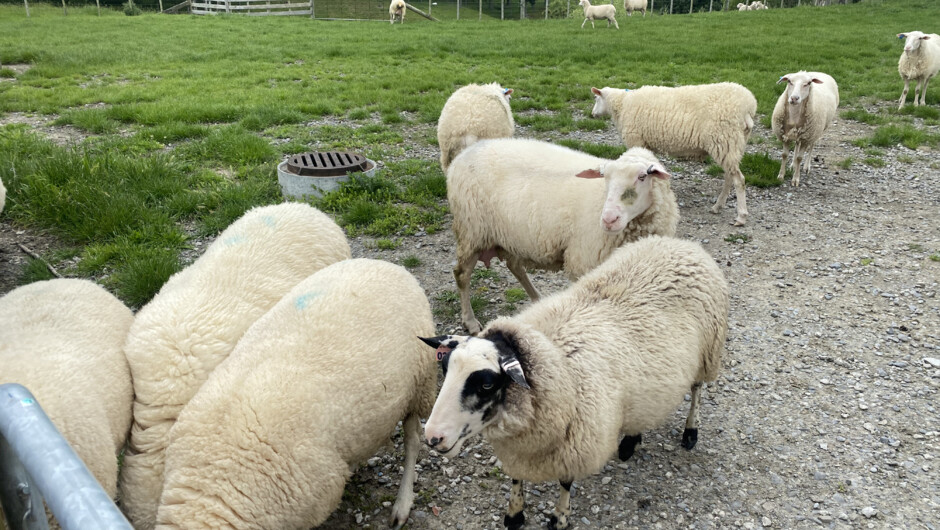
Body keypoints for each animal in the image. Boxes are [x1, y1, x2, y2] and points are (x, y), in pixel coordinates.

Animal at [420, 235, 729, 530]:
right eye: (445, 370)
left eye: (486, 384)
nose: (433, 437)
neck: (555, 358)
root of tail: (681, 244)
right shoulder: (519, 450)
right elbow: (517, 480)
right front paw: (515, 514)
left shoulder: (578, 441)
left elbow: (565, 482)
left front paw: (559, 518)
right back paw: (630, 441)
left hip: (707, 353)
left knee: (697, 390)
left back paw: (690, 432)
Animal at [447, 138, 678, 334]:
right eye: (605, 178)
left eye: (642, 177)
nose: (608, 219)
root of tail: (464, 154)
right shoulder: (583, 262)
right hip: (472, 230)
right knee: (461, 275)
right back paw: (470, 321)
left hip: (511, 235)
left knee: (515, 266)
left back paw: (537, 299)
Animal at [590, 83, 757, 226]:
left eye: (596, 99)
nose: (592, 114)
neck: (622, 103)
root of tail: (749, 106)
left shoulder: (636, 140)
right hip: (733, 144)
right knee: (730, 177)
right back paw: (718, 206)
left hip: (724, 140)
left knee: (739, 180)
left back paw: (741, 216)